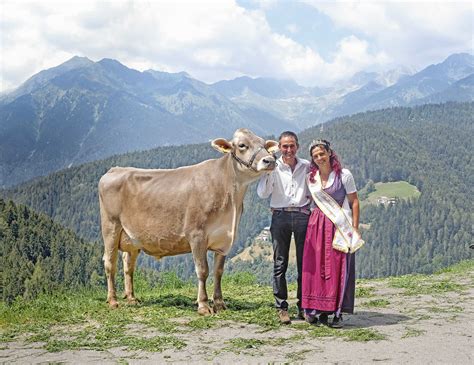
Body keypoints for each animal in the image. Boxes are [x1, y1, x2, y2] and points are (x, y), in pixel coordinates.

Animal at [99, 128, 278, 312]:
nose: (270, 160)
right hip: (111, 227)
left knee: (128, 265)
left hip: (132, 237)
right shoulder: (196, 235)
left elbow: (218, 271)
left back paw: (132, 298)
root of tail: (115, 169)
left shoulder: (225, 239)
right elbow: (203, 270)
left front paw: (219, 303)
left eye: (265, 144)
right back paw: (113, 300)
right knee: (110, 262)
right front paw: (204, 305)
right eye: (242, 145)